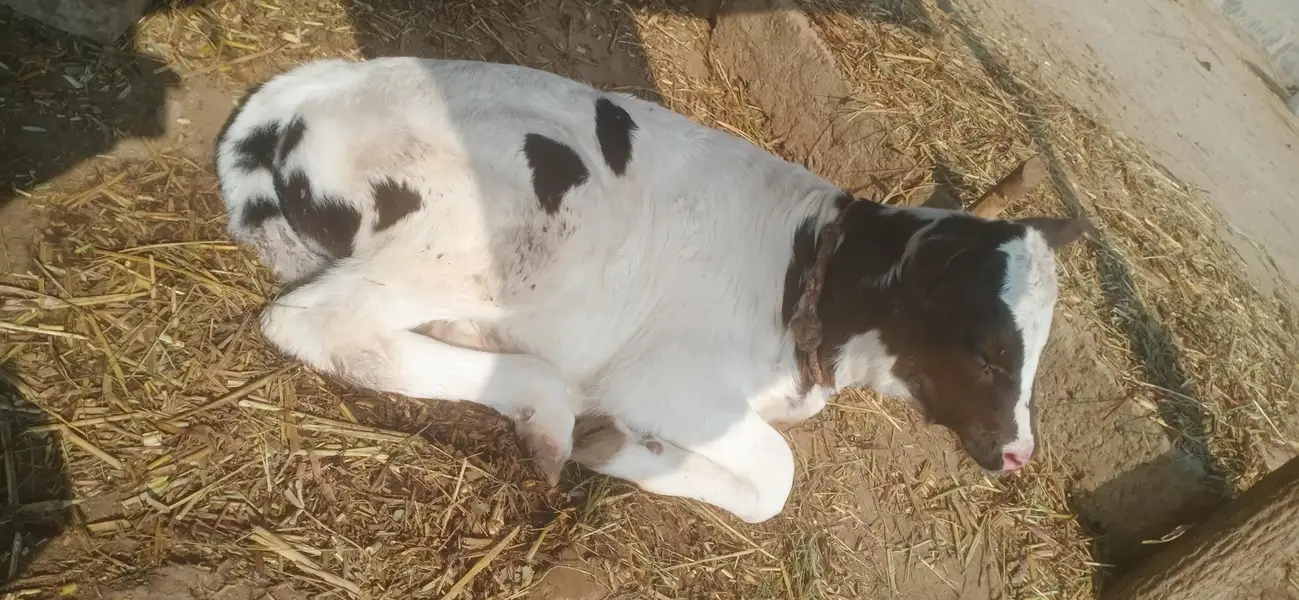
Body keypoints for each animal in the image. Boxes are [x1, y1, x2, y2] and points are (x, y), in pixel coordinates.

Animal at [215, 57, 1082, 524]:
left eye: (1039, 356)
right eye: (988, 352)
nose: (1018, 455)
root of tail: (318, 91)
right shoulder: (669, 380)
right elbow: (775, 478)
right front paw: (616, 446)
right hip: (513, 237)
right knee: (320, 322)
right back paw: (551, 414)